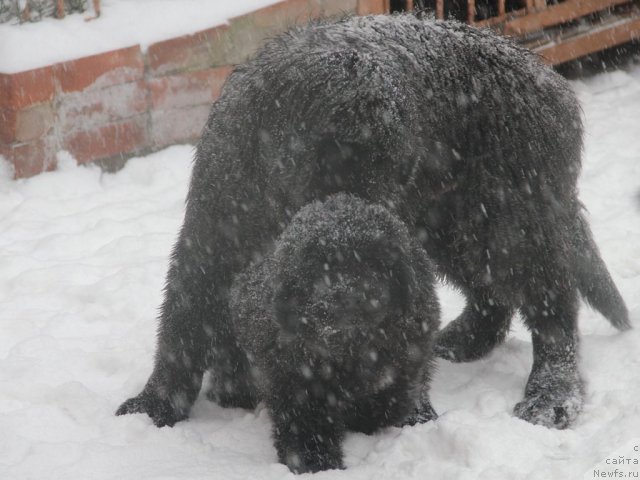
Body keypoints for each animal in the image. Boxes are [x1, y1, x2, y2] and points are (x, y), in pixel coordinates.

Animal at [117, 13, 628, 442]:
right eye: (338, 156)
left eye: (401, 165)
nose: (374, 228)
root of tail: (547, 76)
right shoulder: (208, 239)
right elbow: (182, 326)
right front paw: (154, 406)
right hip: (447, 226)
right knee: (491, 295)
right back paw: (465, 341)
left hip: (505, 219)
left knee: (552, 306)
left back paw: (552, 394)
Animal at [229, 195, 440, 472]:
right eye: (319, 268)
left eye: (372, 263)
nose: (347, 297)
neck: (353, 348)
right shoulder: (296, 383)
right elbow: (307, 428)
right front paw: (317, 465)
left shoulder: (408, 358)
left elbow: (393, 397)